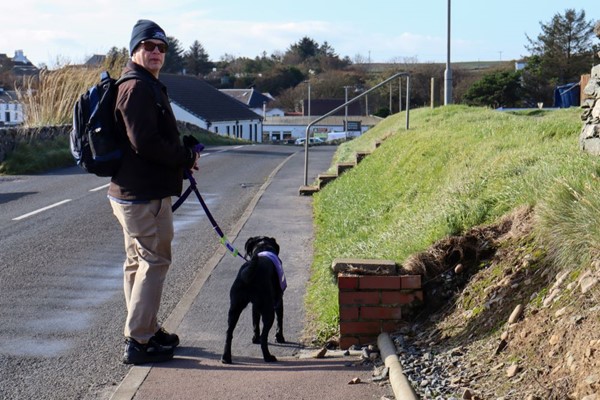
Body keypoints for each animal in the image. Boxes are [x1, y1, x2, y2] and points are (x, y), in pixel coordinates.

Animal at [221, 236, 288, 364]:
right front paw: (280, 337)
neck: (263, 247)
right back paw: (268, 357)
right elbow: (280, 320)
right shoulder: (278, 301)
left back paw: (226, 357)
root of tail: (250, 272)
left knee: (228, 333)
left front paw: (255, 338)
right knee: (264, 336)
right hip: (268, 311)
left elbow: (255, 322)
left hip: (234, 309)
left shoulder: (255, 306)